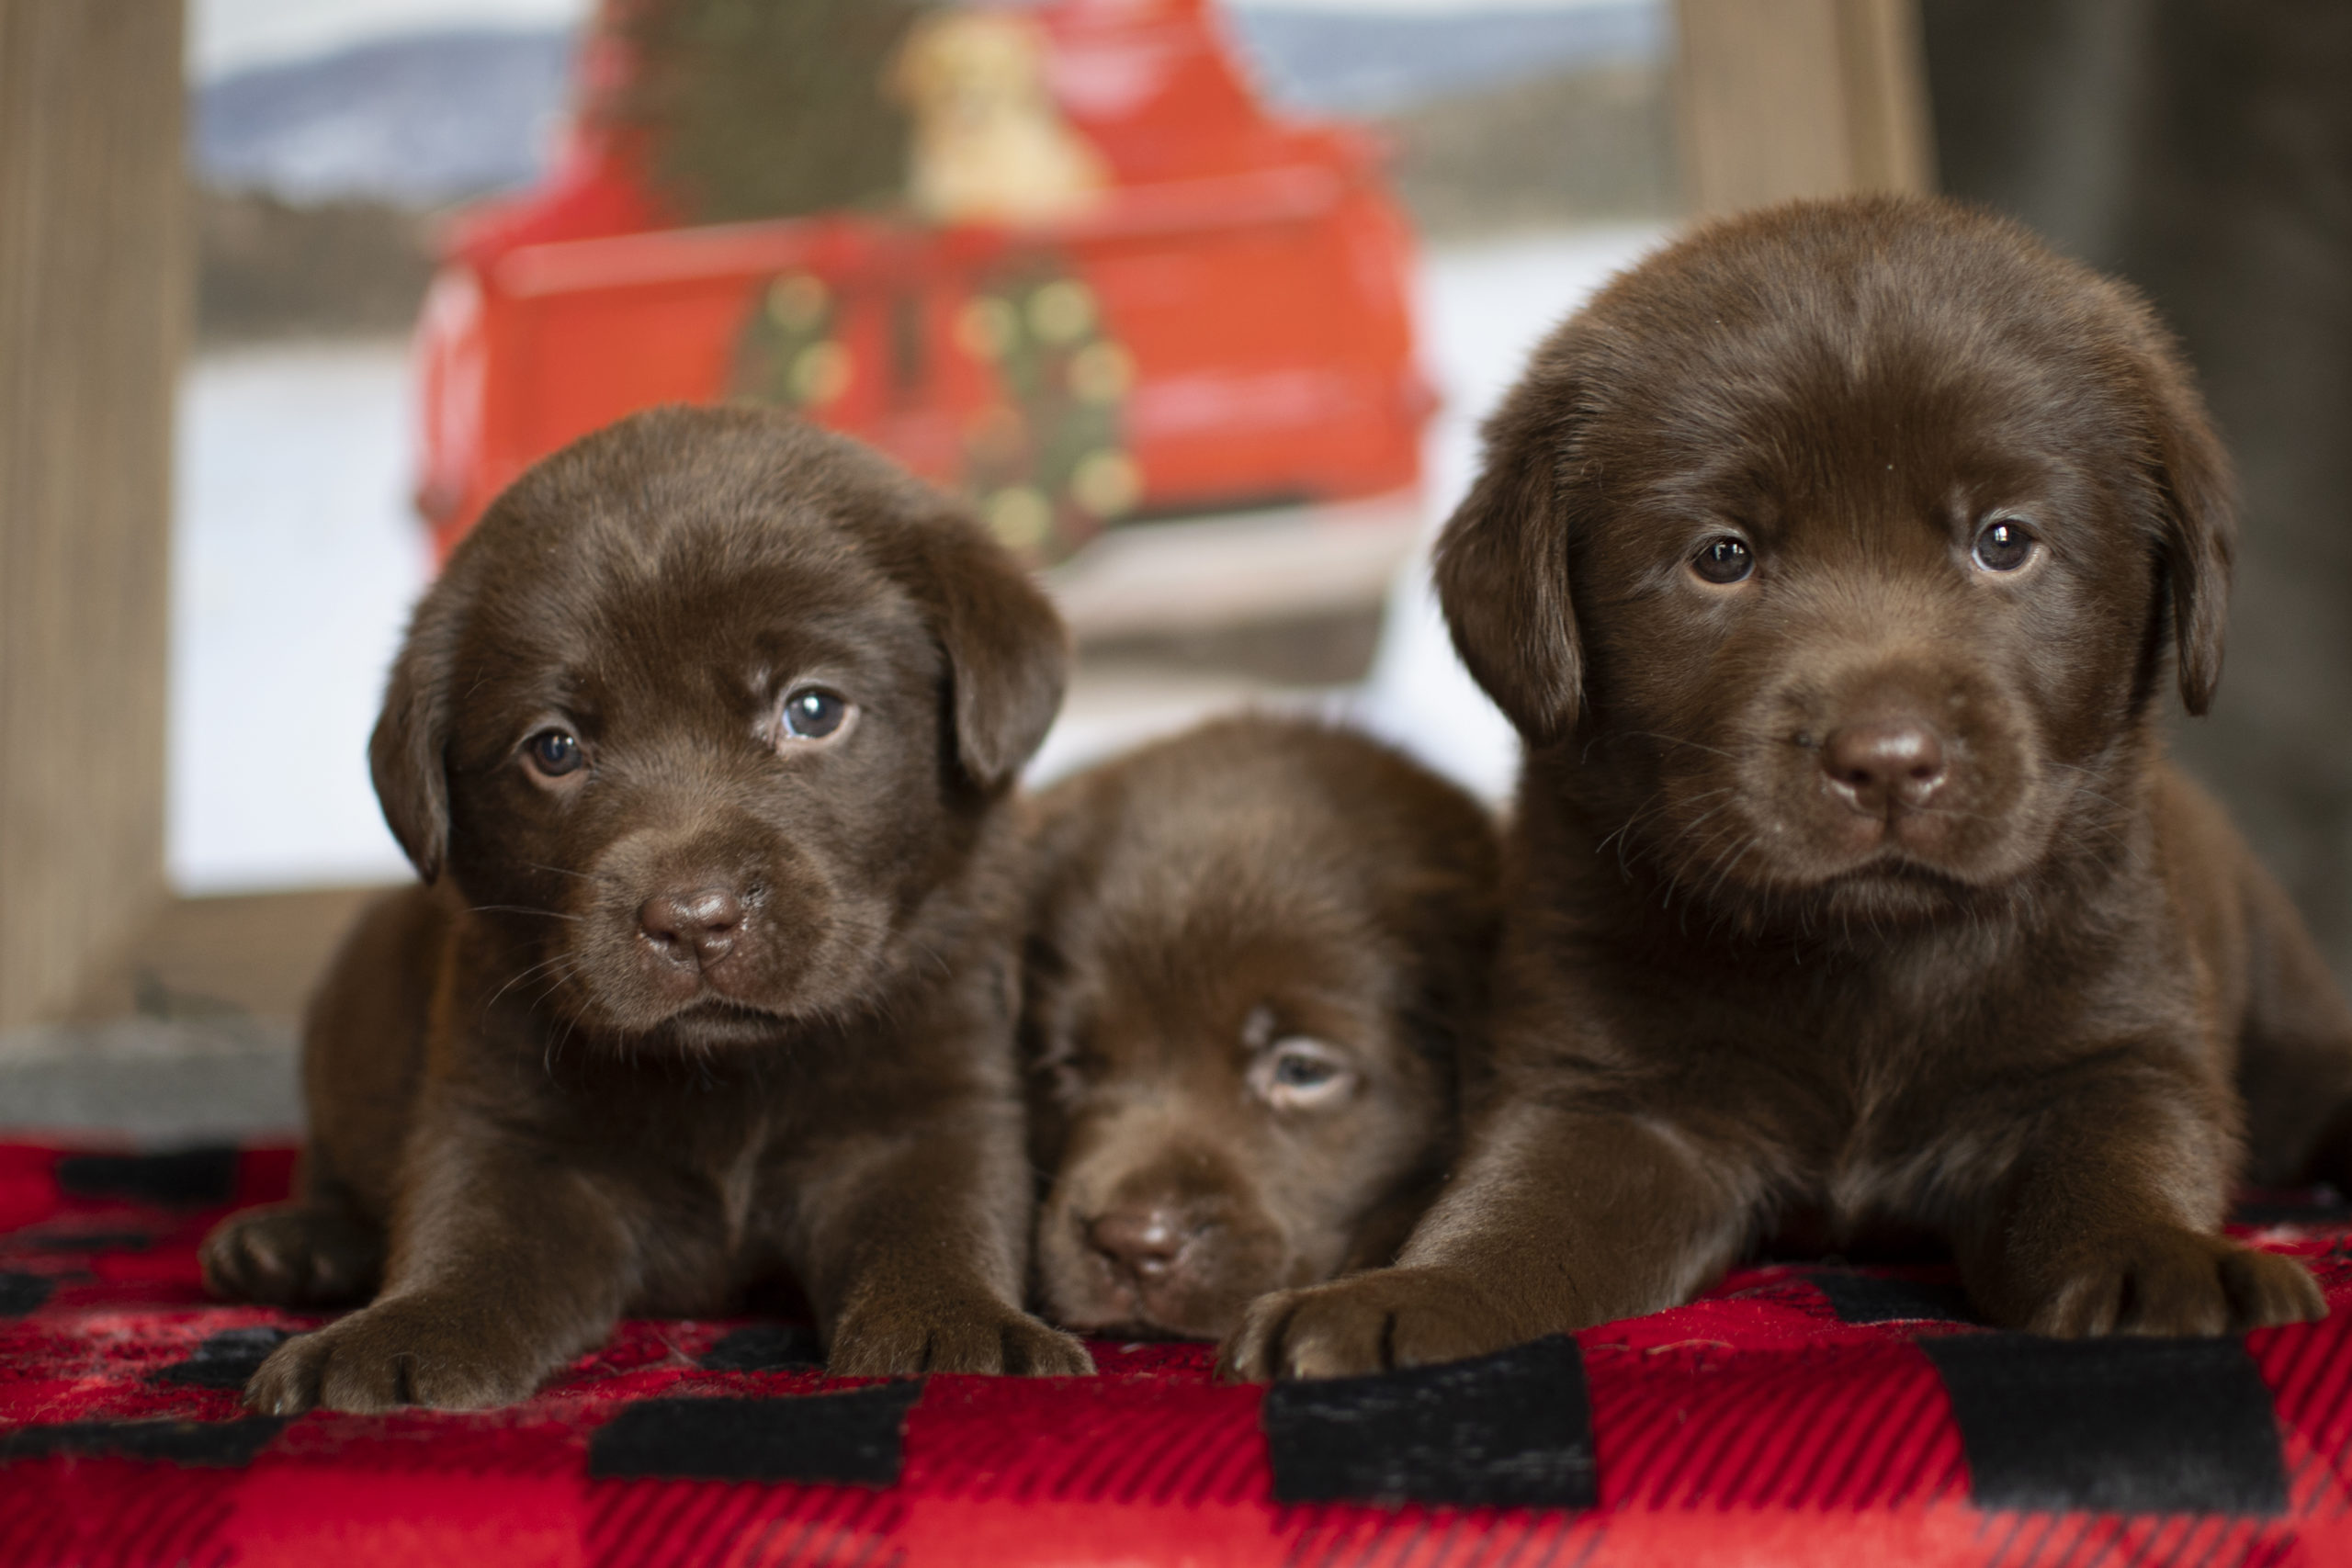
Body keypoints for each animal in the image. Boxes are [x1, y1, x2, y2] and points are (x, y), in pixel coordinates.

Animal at [202, 404, 1091, 1410]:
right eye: (554, 749)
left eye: (813, 710)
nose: (694, 918)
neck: (727, 1073)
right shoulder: (505, 1123)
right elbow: (463, 1241)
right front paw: (395, 1335)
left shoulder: (932, 1101)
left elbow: (941, 1220)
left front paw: (962, 1330)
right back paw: (290, 1242)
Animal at [1223, 192, 2352, 1372]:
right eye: (1722, 557)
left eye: (2006, 541)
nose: (1887, 758)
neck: (1866, 955)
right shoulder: (1611, 1094)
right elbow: (1514, 1211)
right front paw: (1409, 1291)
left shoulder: (2110, 1051)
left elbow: (2114, 1173)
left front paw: (2162, 1264)